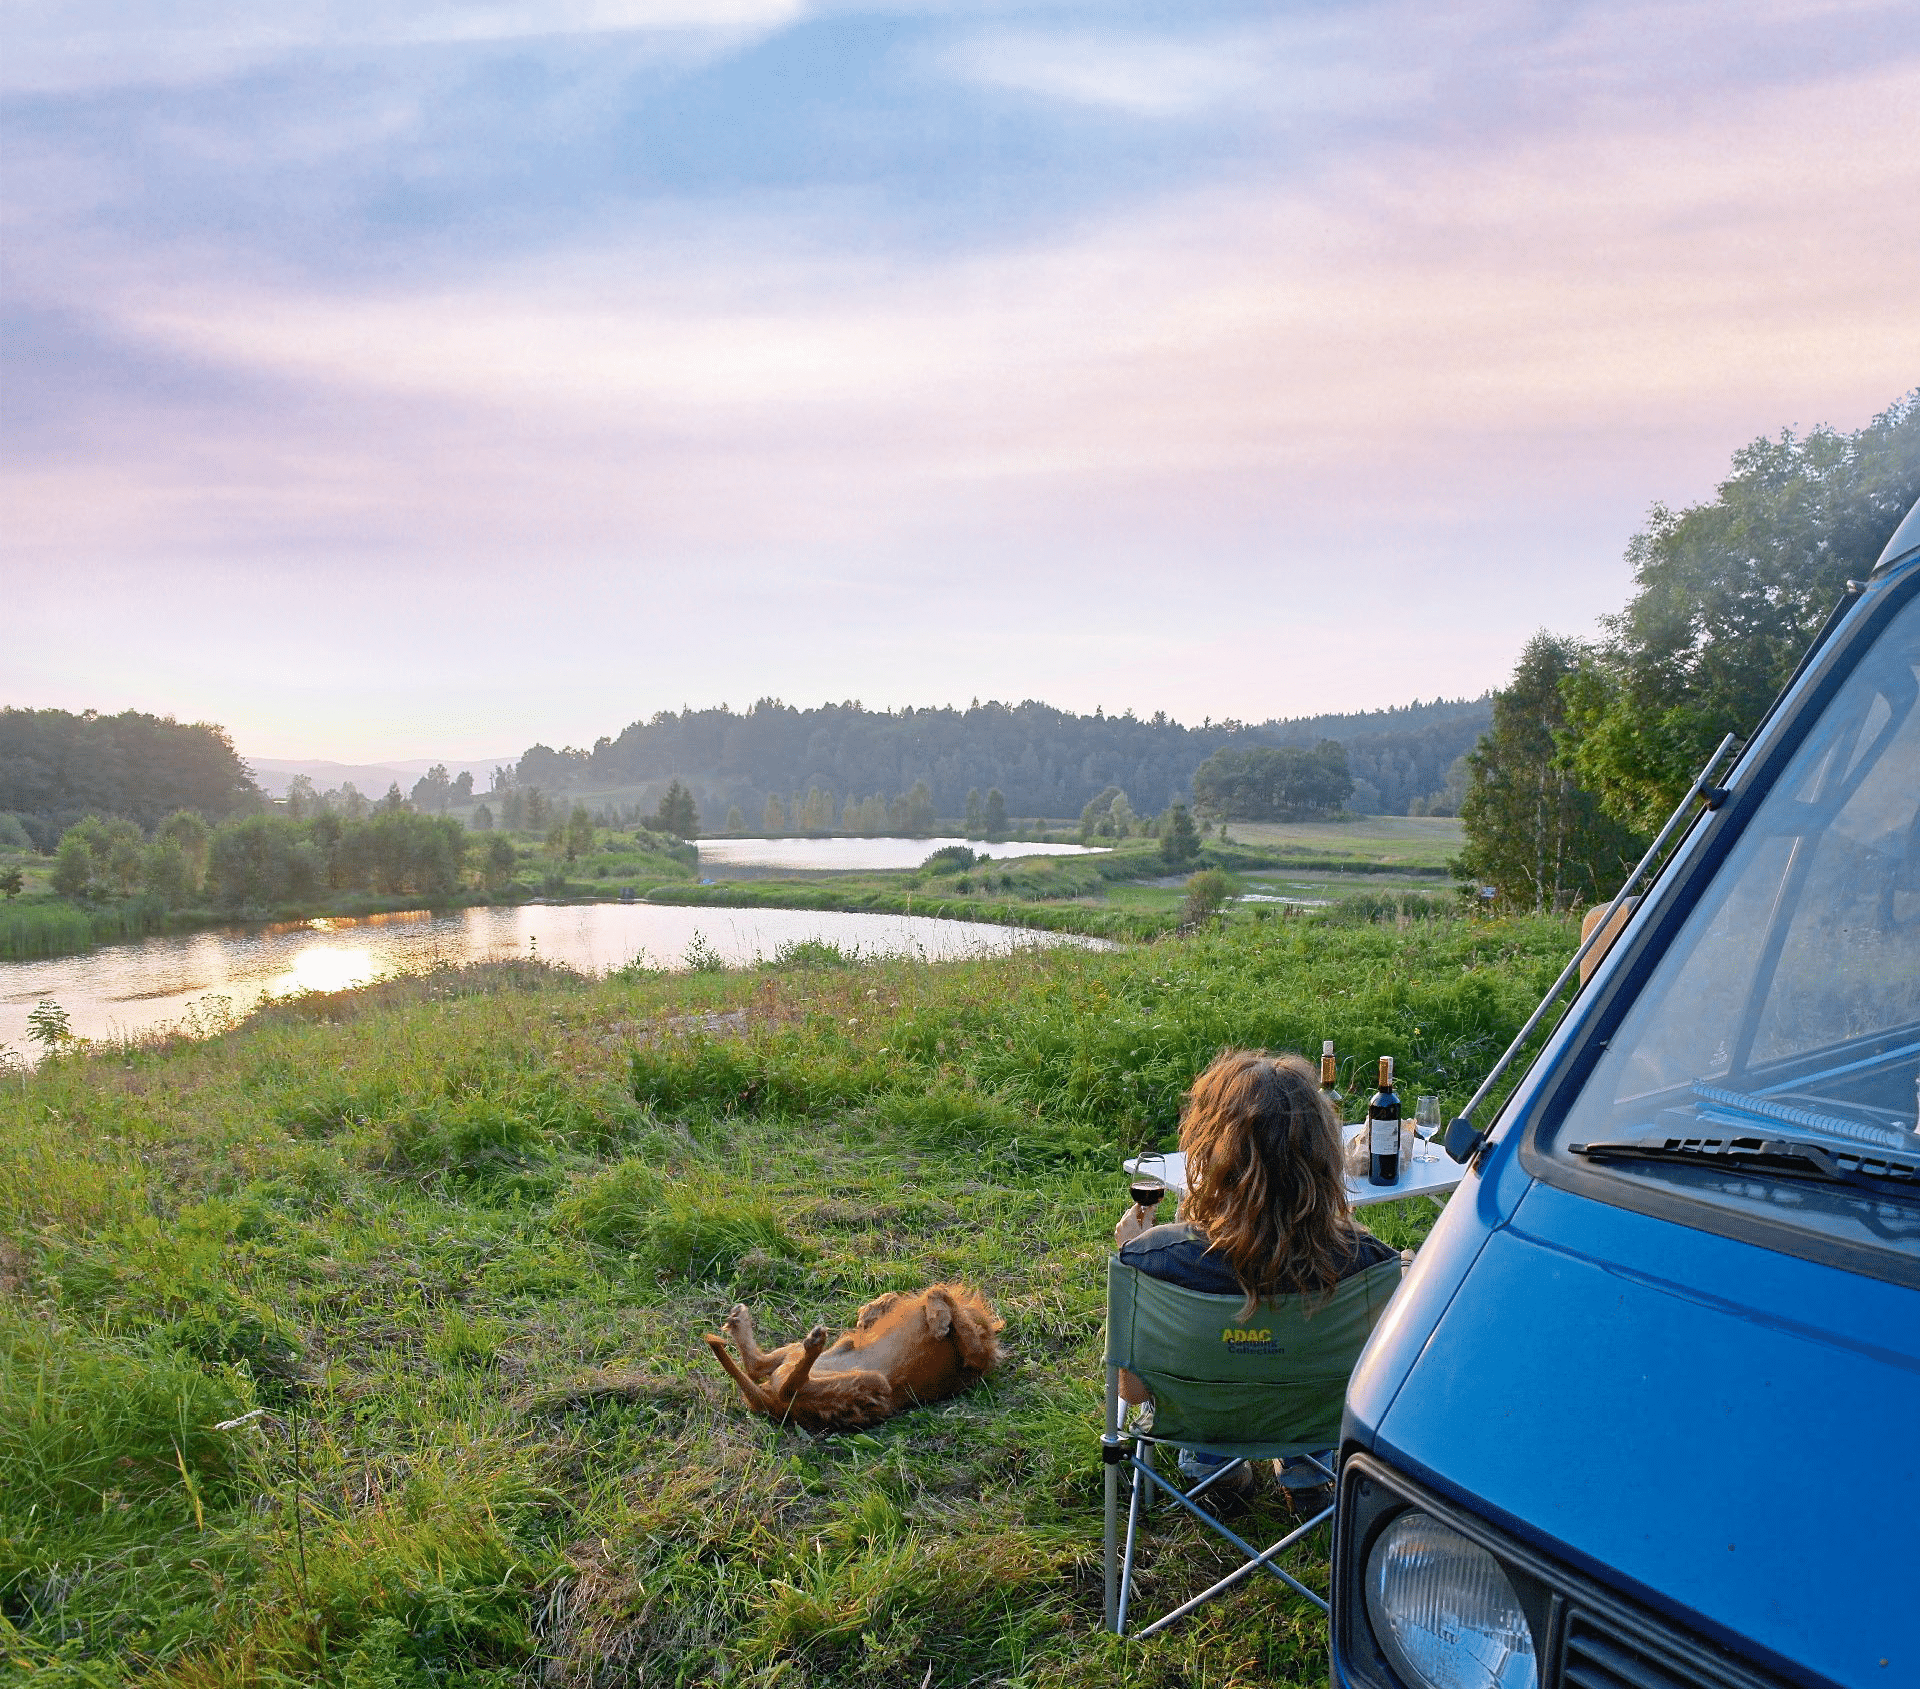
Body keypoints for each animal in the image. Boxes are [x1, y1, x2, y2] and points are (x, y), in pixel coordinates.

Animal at [706, 1289, 1006, 1427]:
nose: (862, 1319)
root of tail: (766, 1404)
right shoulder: (976, 1354)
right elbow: (939, 1290)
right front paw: (939, 1318)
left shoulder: (975, 1356)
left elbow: (938, 1290)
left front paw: (938, 1318)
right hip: (859, 1378)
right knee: (770, 1376)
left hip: (867, 1383)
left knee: (767, 1375)